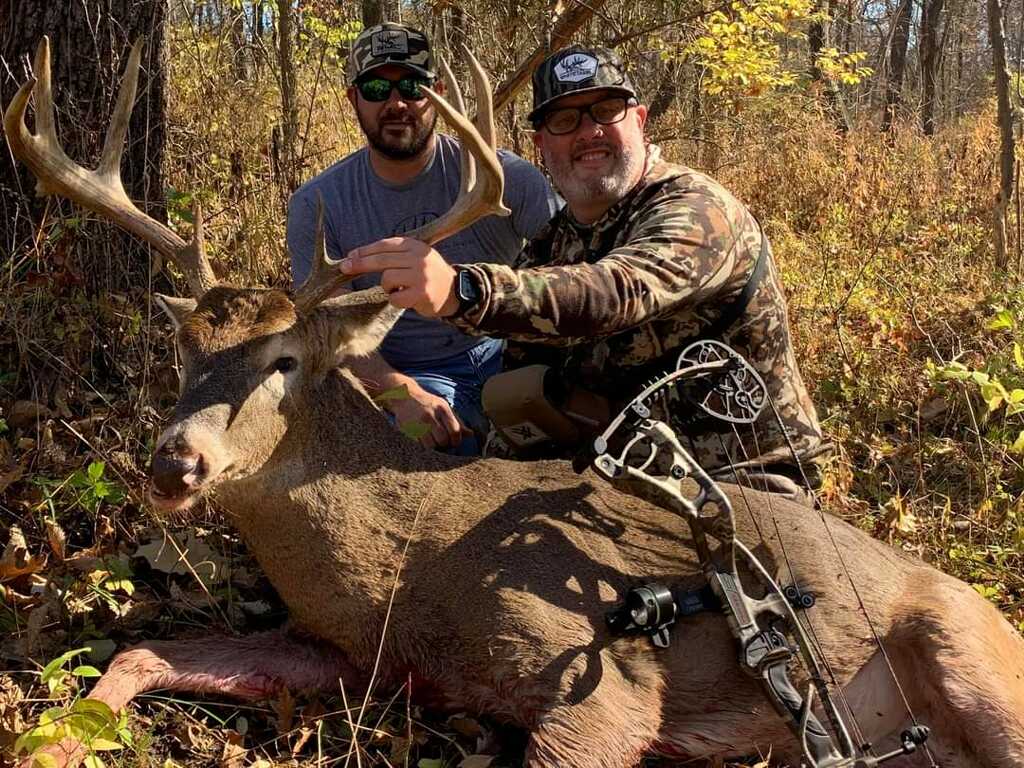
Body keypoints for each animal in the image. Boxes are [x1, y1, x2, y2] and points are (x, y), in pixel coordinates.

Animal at [6, 36, 1024, 768]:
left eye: (285, 360)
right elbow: (138, 652)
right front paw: (49, 744)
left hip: (968, 655)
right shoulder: (346, 653)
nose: (175, 463)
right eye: (187, 351)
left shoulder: (599, 680)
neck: (404, 560)